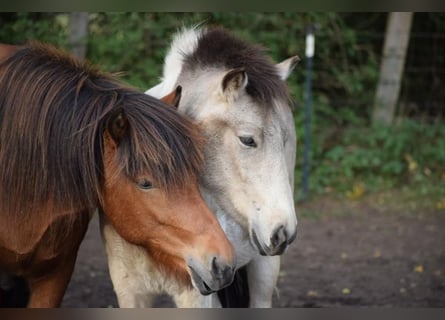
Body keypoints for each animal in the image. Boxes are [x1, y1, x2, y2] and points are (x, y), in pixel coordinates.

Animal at [101, 25, 298, 308]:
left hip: (263, 272)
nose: (283, 233)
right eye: (247, 140)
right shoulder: (129, 292)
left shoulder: (197, 295)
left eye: (285, 140)